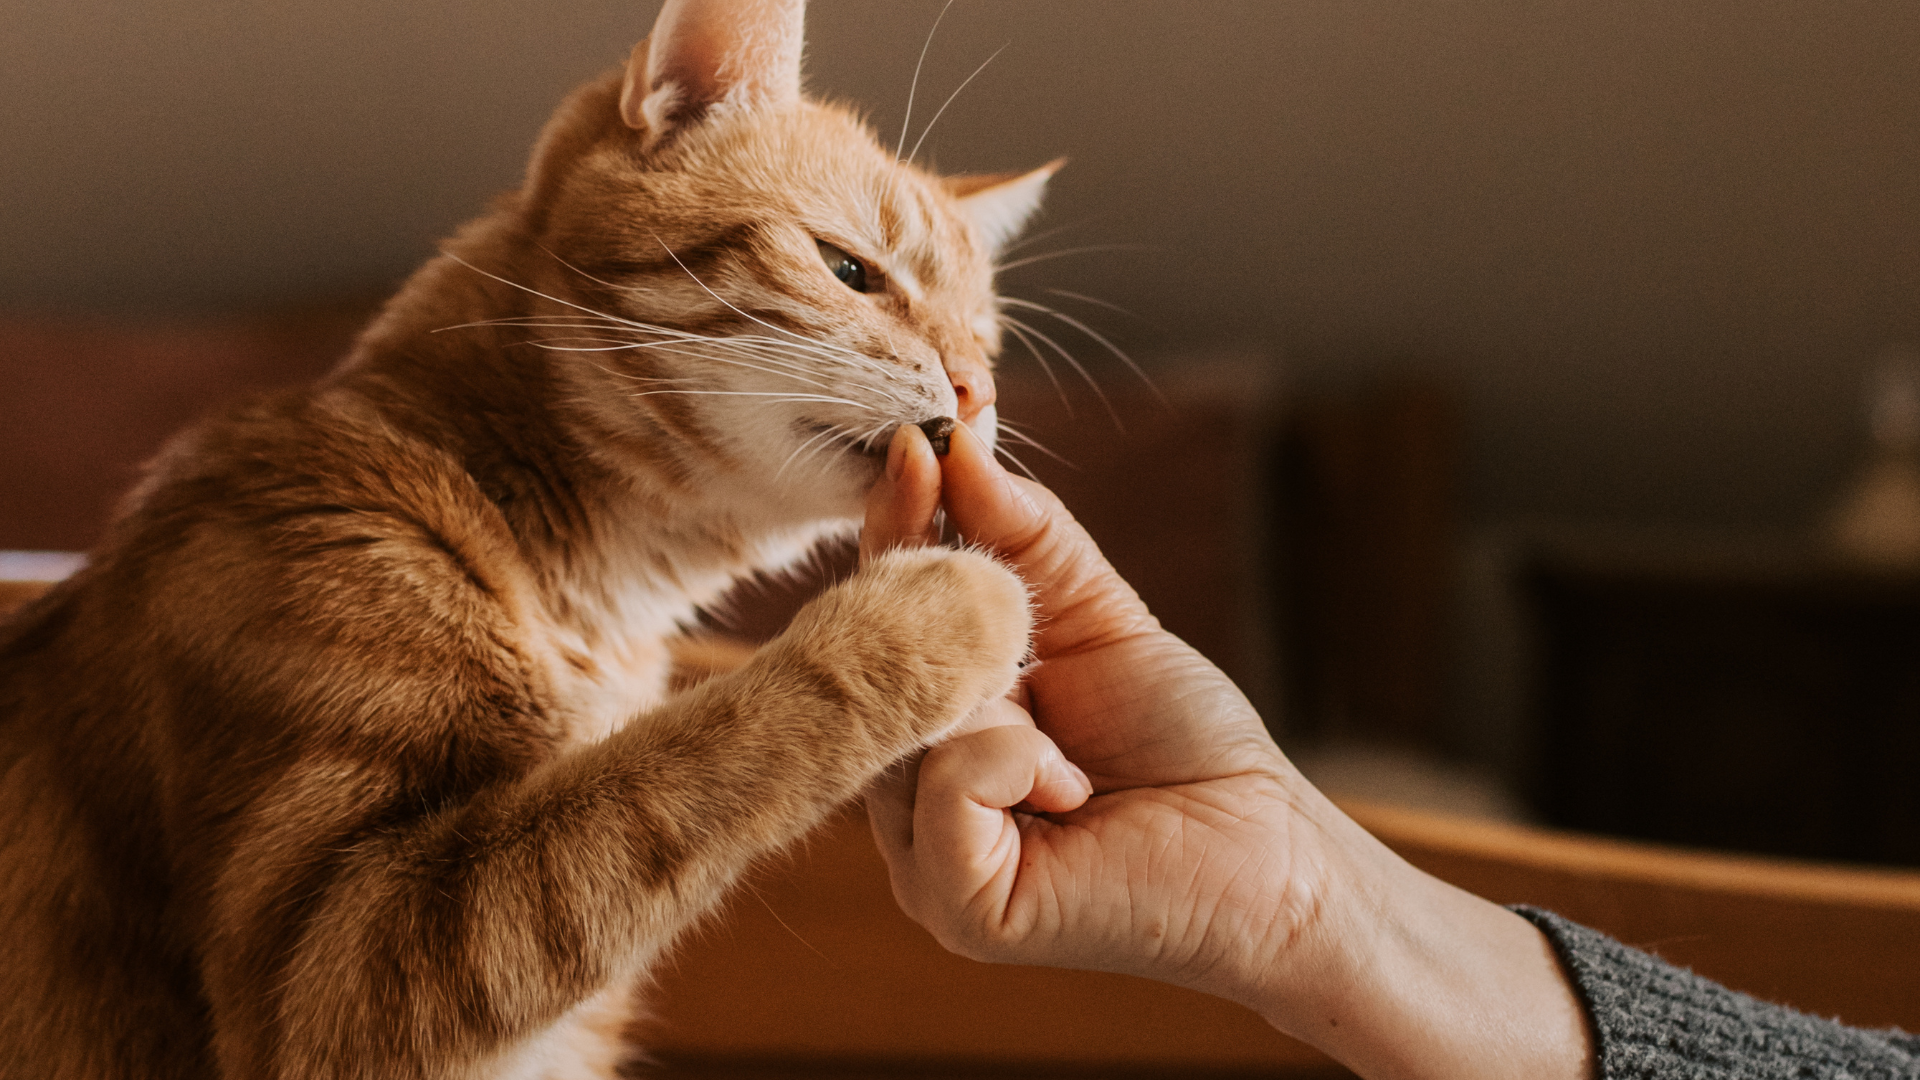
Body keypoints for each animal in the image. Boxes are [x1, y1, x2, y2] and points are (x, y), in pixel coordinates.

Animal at [0, 4, 1067, 1068]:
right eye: (850, 270)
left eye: (986, 342)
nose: (977, 391)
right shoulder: (331, 971)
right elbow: (670, 766)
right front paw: (945, 608)